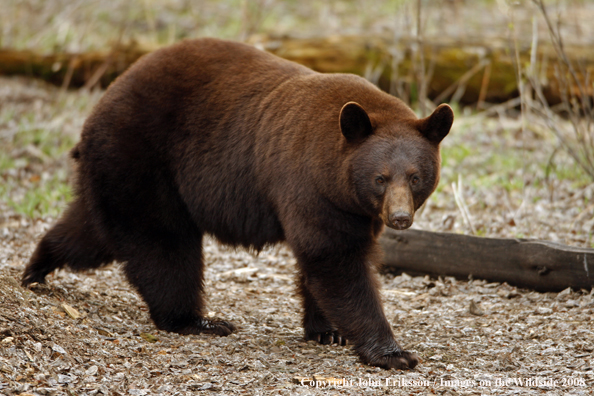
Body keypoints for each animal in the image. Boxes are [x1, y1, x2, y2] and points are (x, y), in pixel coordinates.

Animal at [20, 38, 450, 370]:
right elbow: (335, 259)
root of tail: (100, 105)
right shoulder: (311, 188)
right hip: (142, 161)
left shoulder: (351, 207)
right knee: (161, 247)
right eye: (380, 178)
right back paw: (197, 321)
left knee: (90, 230)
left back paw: (37, 267)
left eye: (415, 177)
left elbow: (324, 261)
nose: (400, 218)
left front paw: (327, 330)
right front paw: (392, 353)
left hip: (117, 173)